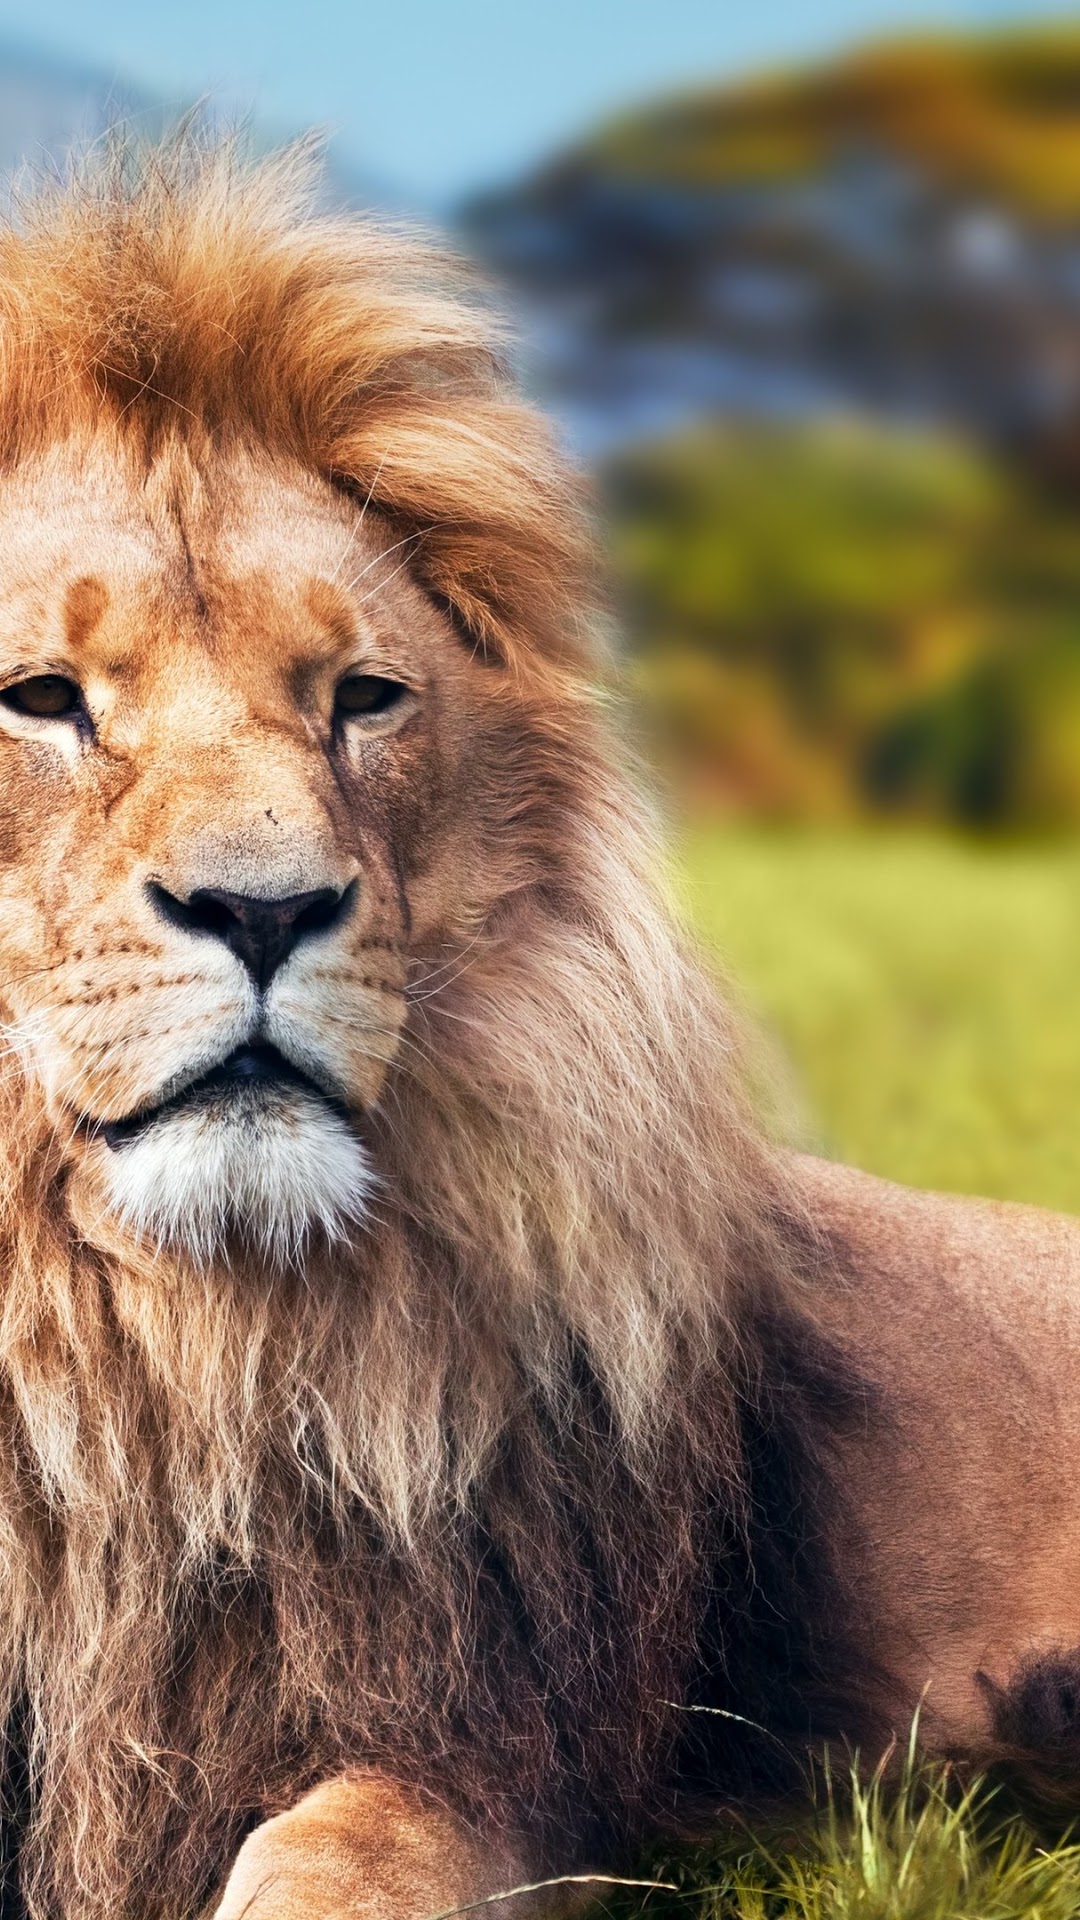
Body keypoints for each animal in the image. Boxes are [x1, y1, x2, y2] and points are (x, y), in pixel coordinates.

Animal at [0, 136, 1076, 1920]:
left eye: (362, 699)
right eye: (41, 700)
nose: (266, 912)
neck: (159, 1347)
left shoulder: (495, 1754)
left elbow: (330, 1858)